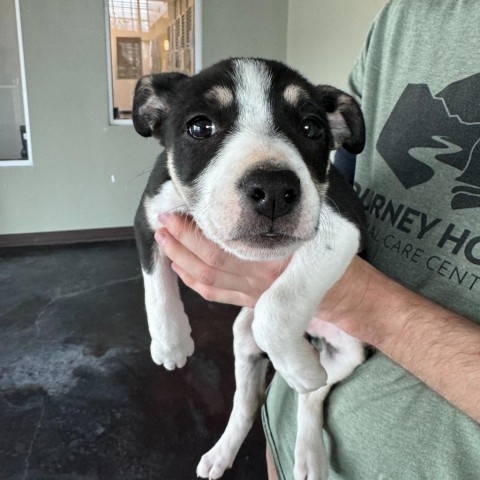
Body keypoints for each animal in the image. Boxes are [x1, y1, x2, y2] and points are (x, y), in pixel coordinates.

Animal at [132, 58, 368, 478]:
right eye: (199, 127)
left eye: (311, 128)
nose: (273, 191)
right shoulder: (149, 216)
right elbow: (155, 284)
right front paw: (170, 343)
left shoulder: (342, 230)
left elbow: (277, 307)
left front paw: (299, 367)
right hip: (242, 338)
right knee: (246, 403)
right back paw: (222, 453)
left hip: (350, 351)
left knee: (313, 393)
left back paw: (309, 447)